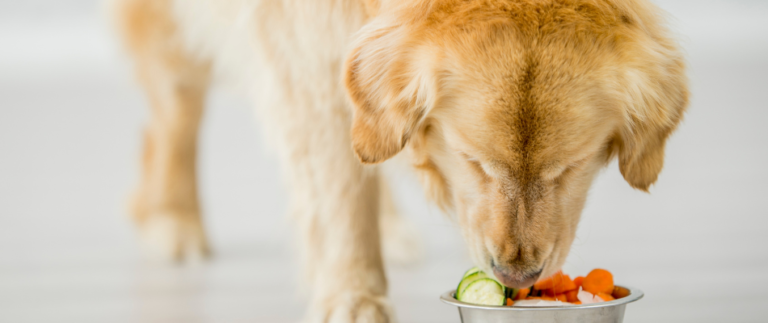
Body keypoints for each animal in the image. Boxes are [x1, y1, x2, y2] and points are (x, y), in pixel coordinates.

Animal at [115, 0, 688, 322]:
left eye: (568, 167)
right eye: (473, 161)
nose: (516, 274)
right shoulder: (308, 50)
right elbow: (339, 193)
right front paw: (354, 299)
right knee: (175, 113)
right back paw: (173, 216)